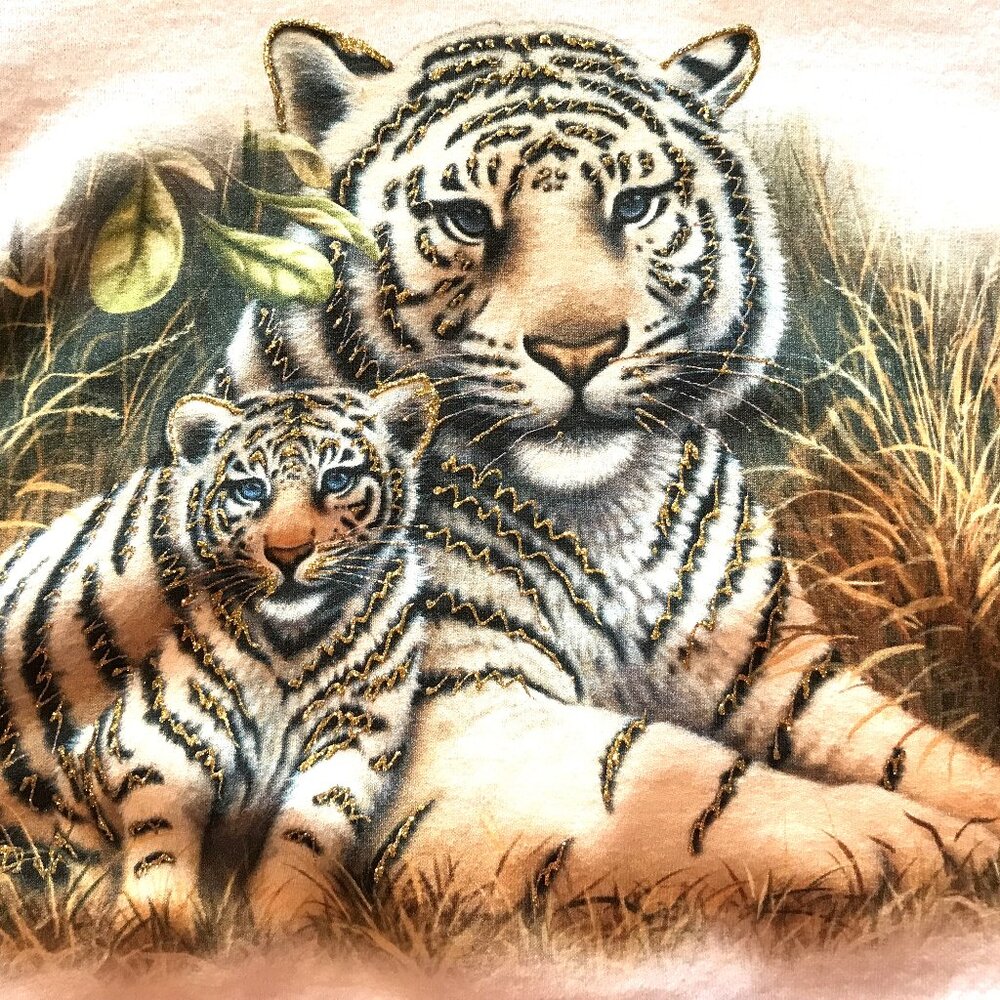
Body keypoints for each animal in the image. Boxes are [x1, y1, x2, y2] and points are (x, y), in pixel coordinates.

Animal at [0, 377, 438, 932]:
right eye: (250, 489)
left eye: (337, 479)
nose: (288, 554)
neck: (291, 643)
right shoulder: (160, 735)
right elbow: (161, 834)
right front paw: (158, 921)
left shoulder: (355, 732)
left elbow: (311, 831)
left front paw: (293, 917)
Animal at [218, 21, 1000, 914]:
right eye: (467, 217)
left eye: (634, 205)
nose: (579, 351)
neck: (604, 511)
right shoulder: (459, 714)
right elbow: (700, 790)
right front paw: (940, 843)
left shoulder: (777, 661)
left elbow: (918, 751)